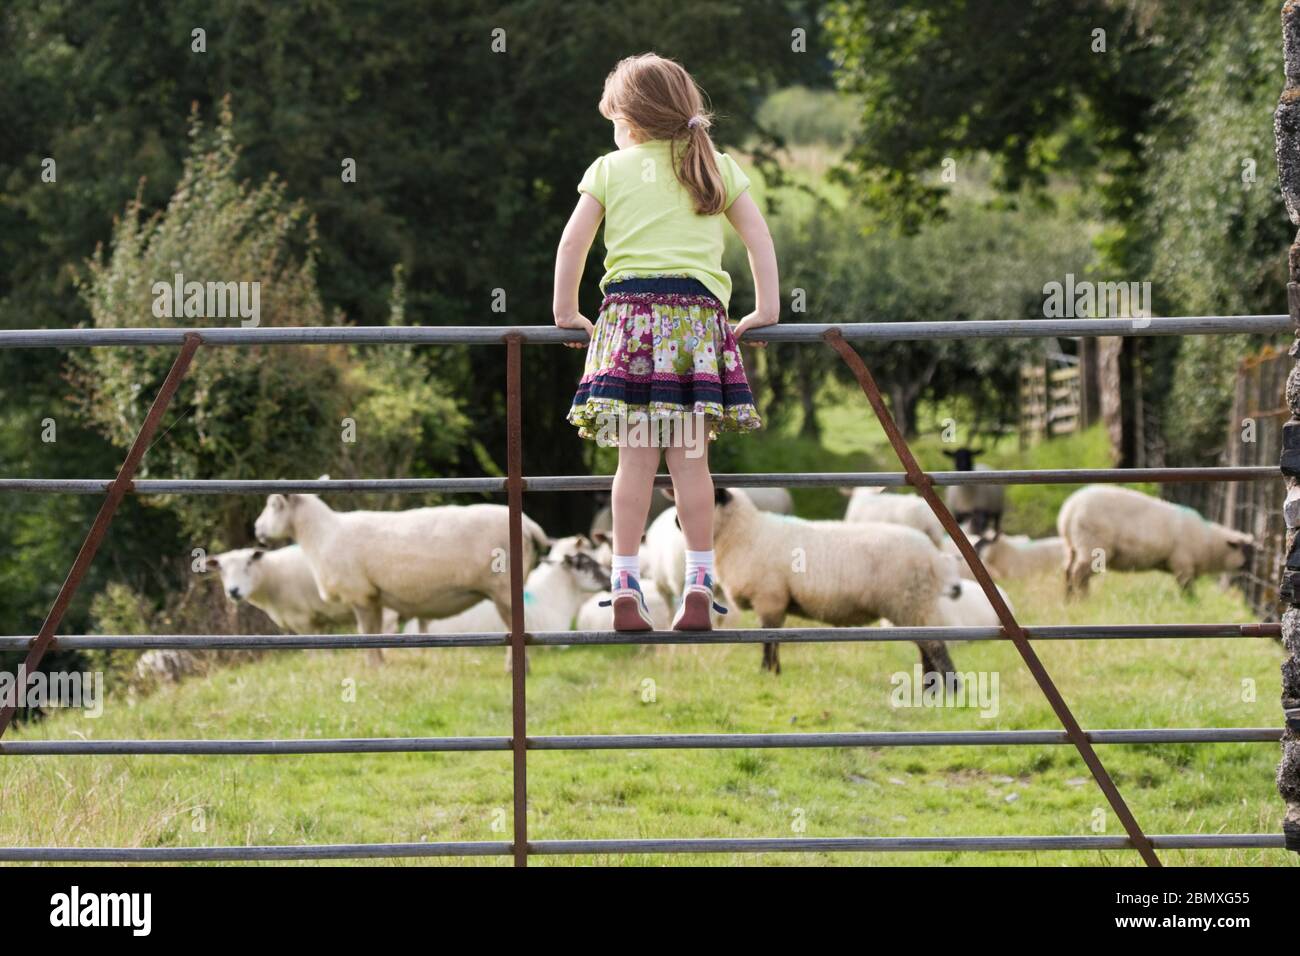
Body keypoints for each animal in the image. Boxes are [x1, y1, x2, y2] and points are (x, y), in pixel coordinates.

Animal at [253, 494, 548, 665]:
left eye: (273, 506)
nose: (256, 529)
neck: (321, 534)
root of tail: (529, 525)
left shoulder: (359, 593)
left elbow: (366, 631)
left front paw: (372, 665)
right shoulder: (373, 596)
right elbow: (374, 631)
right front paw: (380, 661)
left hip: (503, 587)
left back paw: (516, 667)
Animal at [707, 489, 961, 676]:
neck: (745, 533)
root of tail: (932, 555)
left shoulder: (770, 598)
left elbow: (768, 640)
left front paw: (767, 672)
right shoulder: (776, 602)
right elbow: (774, 639)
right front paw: (774, 672)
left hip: (910, 604)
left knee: (936, 648)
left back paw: (949, 691)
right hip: (915, 606)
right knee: (927, 648)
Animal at [1055, 486, 1258, 598]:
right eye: (1247, 551)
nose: (1255, 570)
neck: (1209, 543)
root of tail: (1068, 511)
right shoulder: (1183, 564)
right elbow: (1187, 588)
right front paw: (1192, 602)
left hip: (1072, 546)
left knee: (1067, 571)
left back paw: (1068, 600)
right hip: (1091, 546)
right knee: (1079, 574)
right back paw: (1084, 600)